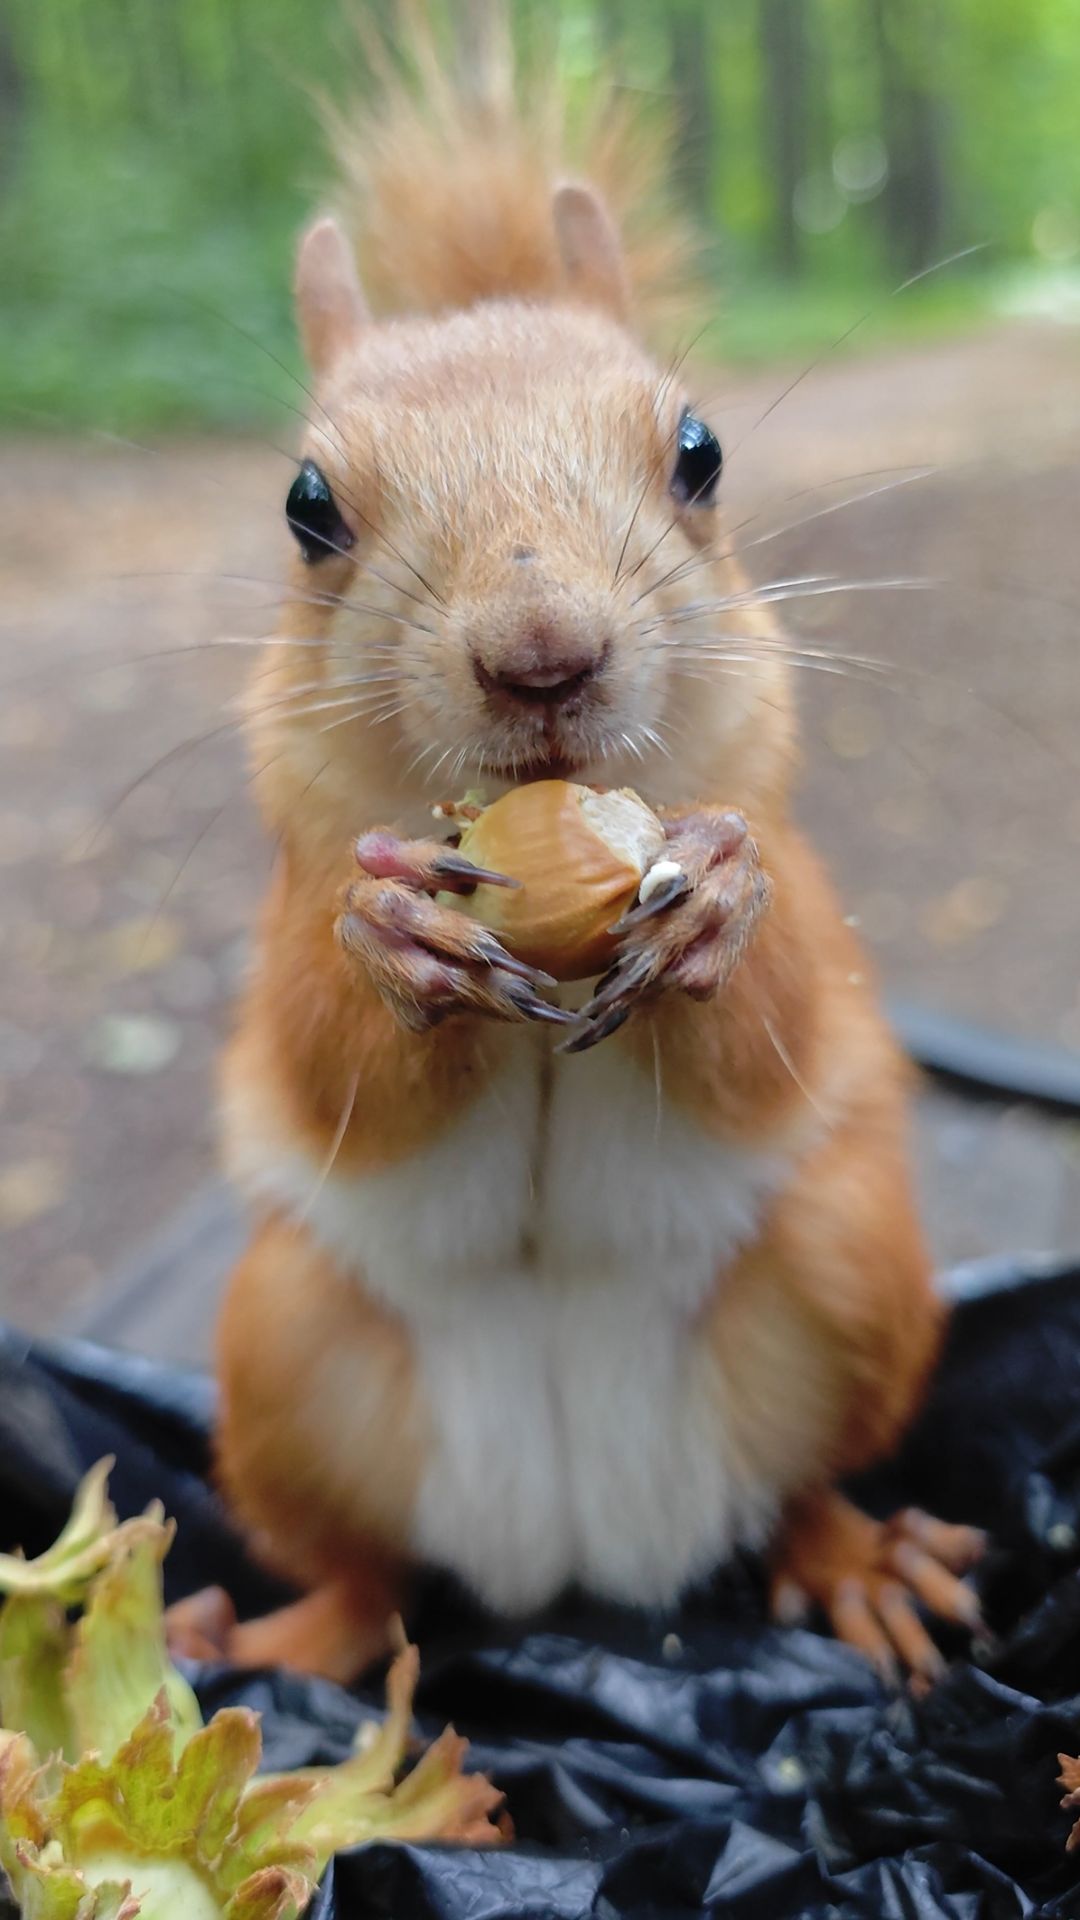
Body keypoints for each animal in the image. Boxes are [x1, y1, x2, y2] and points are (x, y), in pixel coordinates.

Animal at [170, 4, 987, 1688]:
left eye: (702, 451)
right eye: (303, 505)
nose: (542, 656)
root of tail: (579, 1551)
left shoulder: (789, 838)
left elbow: (789, 1008)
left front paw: (720, 907)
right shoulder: (289, 885)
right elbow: (319, 1059)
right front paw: (387, 941)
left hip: (854, 1265)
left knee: (802, 1485)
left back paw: (859, 1563)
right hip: (278, 1348)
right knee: (363, 1573)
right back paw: (267, 1642)